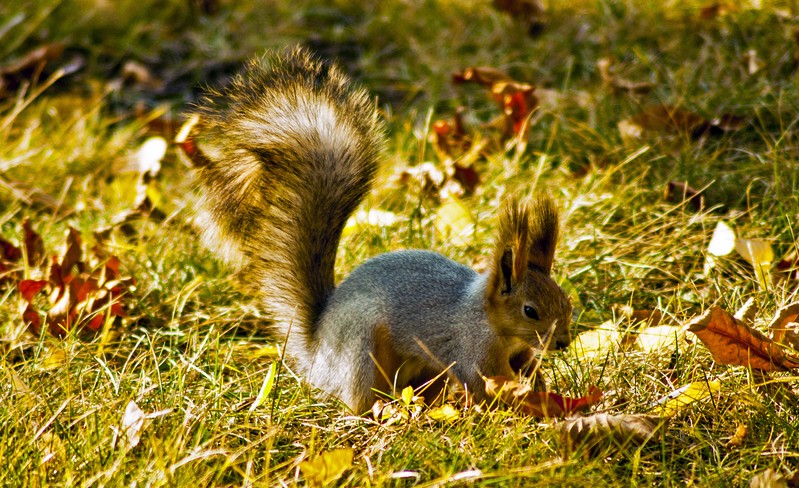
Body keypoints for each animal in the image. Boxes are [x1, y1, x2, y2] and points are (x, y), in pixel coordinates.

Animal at [186, 47, 576, 414]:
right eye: (530, 311)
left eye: (565, 300)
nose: (563, 342)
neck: (490, 319)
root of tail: (318, 360)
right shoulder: (471, 348)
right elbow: (484, 382)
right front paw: (521, 402)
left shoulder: (517, 352)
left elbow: (525, 367)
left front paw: (539, 384)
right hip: (363, 350)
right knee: (359, 400)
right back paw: (382, 410)